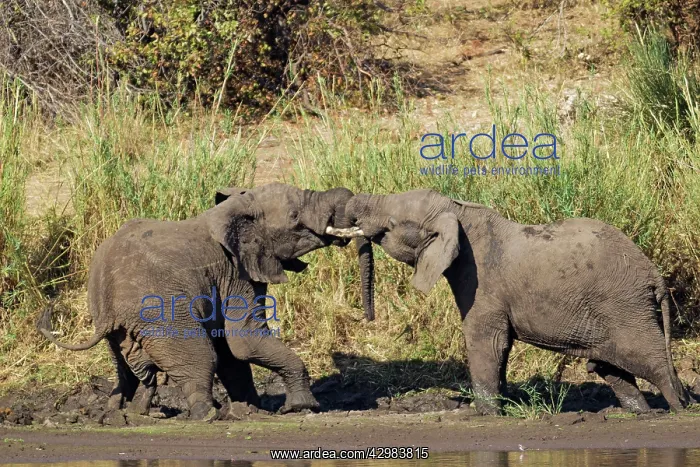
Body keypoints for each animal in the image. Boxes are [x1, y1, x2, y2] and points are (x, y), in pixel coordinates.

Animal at [37, 182, 374, 420]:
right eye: (294, 218)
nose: (368, 318)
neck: (235, 208)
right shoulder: (236, 272)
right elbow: (243, 342)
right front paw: (301, 408)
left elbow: (231, 350)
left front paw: (253, 410)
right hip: (162, 312)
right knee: (201, 356)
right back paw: (207, 414)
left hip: (117, 327)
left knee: (127, 365)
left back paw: (127, 412)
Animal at [333, 188, 696, 415]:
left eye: (392, 224)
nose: (368, 317)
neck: (458, 212)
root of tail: (654, 274)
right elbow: (500, 348)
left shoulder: (483, 284)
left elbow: (486, 342)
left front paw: (483, 414)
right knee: (609, 368)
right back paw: (641, 413)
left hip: (625, 305)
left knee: (650, 361)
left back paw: (680, 409)